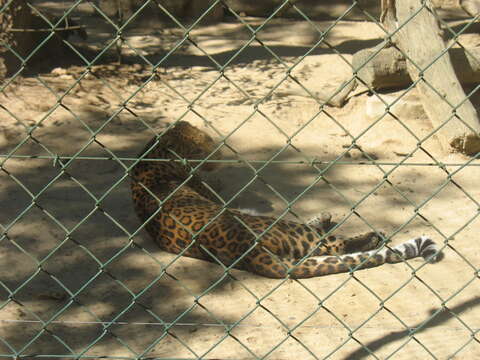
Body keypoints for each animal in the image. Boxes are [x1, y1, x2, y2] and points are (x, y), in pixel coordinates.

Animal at [129, 121, 440, 278]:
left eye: (206, 139)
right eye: (198, 147)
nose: (218, 156)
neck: (153, 154)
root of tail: (247, 250)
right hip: (285, 228)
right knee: (331, 245)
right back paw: (370, 237)